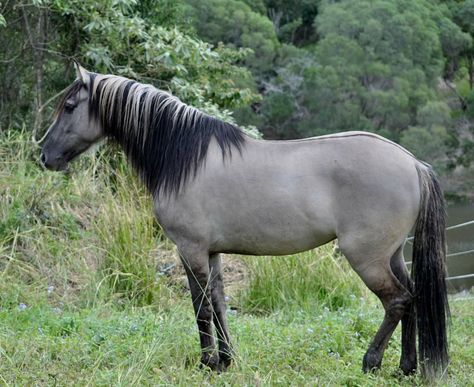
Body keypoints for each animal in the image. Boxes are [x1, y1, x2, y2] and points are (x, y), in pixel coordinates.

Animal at [39, 63, 448, 382]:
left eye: (69, 106)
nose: (43, 155)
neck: (185, 158)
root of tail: (413, 163)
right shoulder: (212, 252)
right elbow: (219, 304)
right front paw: (226, 360)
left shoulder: (190, 250)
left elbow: (201, 307)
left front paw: (206, 362)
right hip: (391, 254)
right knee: (413, 298)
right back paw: (405, 367)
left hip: (366, 257)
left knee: (397, 301)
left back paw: (371, 362)